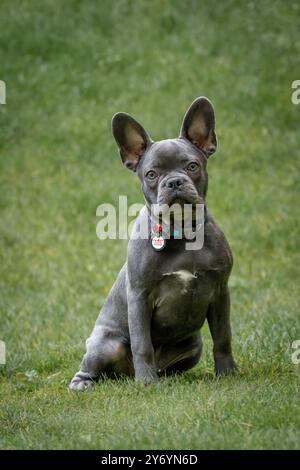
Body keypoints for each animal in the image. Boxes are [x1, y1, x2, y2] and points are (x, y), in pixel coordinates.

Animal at [69, 96, 237, 390]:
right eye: (151, 174)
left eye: (192, 166)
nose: (174, 181)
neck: (182, 233)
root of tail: (124, 377)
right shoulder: (139, 297)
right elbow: (142, 343)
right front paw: (147, 381)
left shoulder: (220, 292)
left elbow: (223, 336)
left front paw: (227, 372)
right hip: (105, 344)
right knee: (94, 365)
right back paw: (88, 382)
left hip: (194, 344)